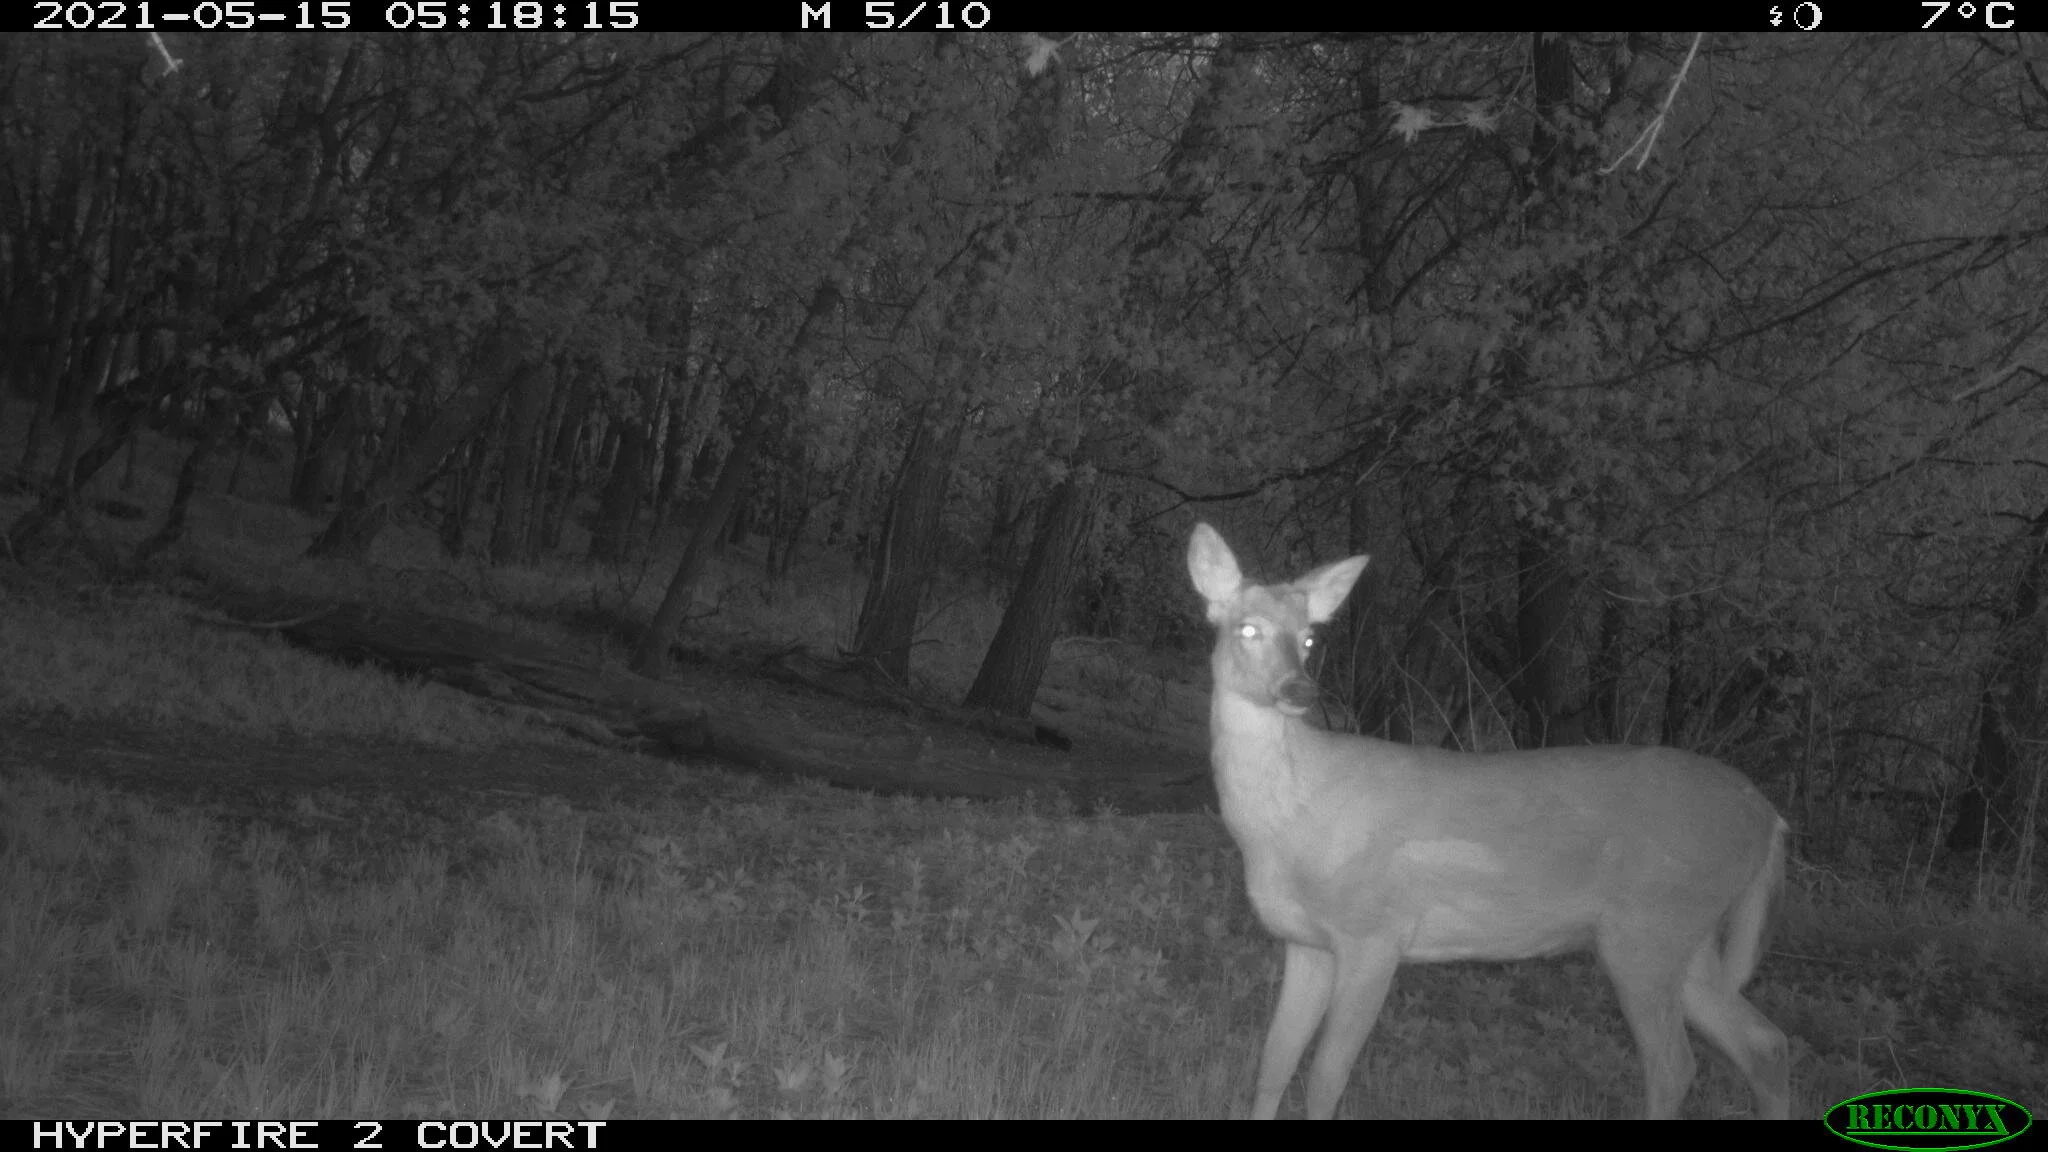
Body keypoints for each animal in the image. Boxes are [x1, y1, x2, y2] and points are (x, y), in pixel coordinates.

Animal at [1187, 522, 1790, 1120]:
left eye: (1310, 638)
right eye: (1246, 629)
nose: (1299, 689)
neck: (1288, 829)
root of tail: (1770, 816)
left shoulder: (1376, 932)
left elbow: (1325, 1079)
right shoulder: (1306, 942)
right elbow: (1273, 1062)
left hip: (1650, 929)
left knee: (1675, 1066)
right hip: (1689, 937)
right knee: (1765, 1044)